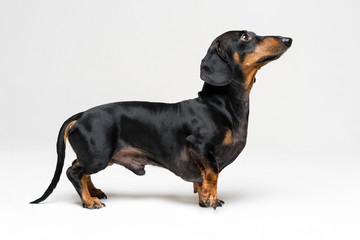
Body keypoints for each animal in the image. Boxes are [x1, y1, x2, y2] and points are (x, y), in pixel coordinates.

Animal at [29, 30, 292, 210]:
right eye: (246, 36)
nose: (288, 39)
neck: (220, 104)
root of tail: (81, 114)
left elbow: (203, 178)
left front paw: (202, 195)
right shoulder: (200, 147)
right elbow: (212, 174)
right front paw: (210, 200)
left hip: (101, 156)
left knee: (79, 168)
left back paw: (94, 192)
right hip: (98, 156)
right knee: (74, 172)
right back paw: (89, 201)